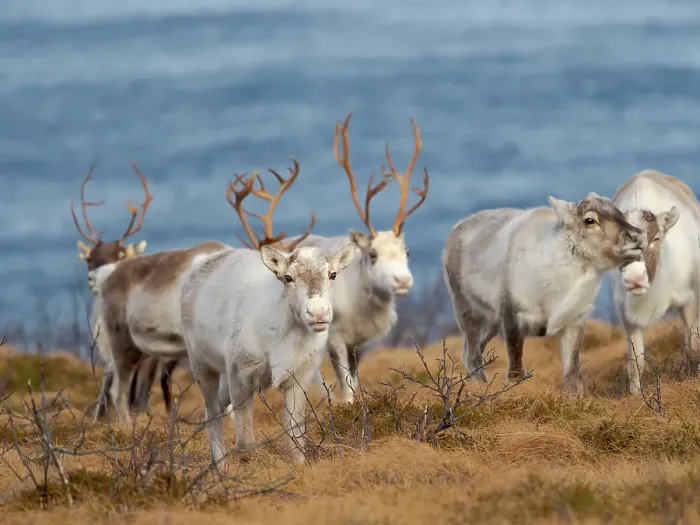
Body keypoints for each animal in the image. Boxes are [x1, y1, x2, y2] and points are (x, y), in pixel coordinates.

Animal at [69, 162, 177, 420]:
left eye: (120, 254)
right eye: (90, 259)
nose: (94, 277)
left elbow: (140, 389)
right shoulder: (107, 351)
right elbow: (109, 384)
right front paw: (100, 417)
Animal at [180, 196, 356, 466]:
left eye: (332, 274)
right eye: (288, 277)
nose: (318, 313)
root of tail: (197, 266)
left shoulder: (299, 378)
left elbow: (296, 438)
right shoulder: (240, 374)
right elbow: (245, 441)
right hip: (201, 364)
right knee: (212, 413)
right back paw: (220, 466)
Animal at [285, 111, 429, 404]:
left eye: (407, 251)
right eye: (373, 254)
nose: (403, 280)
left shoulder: (359, 343)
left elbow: (356, 378)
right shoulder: (335, 338)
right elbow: (345, 382)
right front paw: (348, 405)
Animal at [442, 192, 646, 393]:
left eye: (619, 212)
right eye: (589, 220)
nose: (638, 235)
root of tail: (454, 231)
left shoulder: (574, 319)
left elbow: (572, 373)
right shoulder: (512, 315)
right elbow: (516, 367)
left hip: (491, 323)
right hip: (468, 312)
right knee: (472, 354)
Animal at [610, 169, 700, 395]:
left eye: (657, 238)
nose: (635, 278)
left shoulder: (690, 301)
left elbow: (692, 346)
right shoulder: (626, 313)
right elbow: (636, 361)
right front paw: (635, 395)